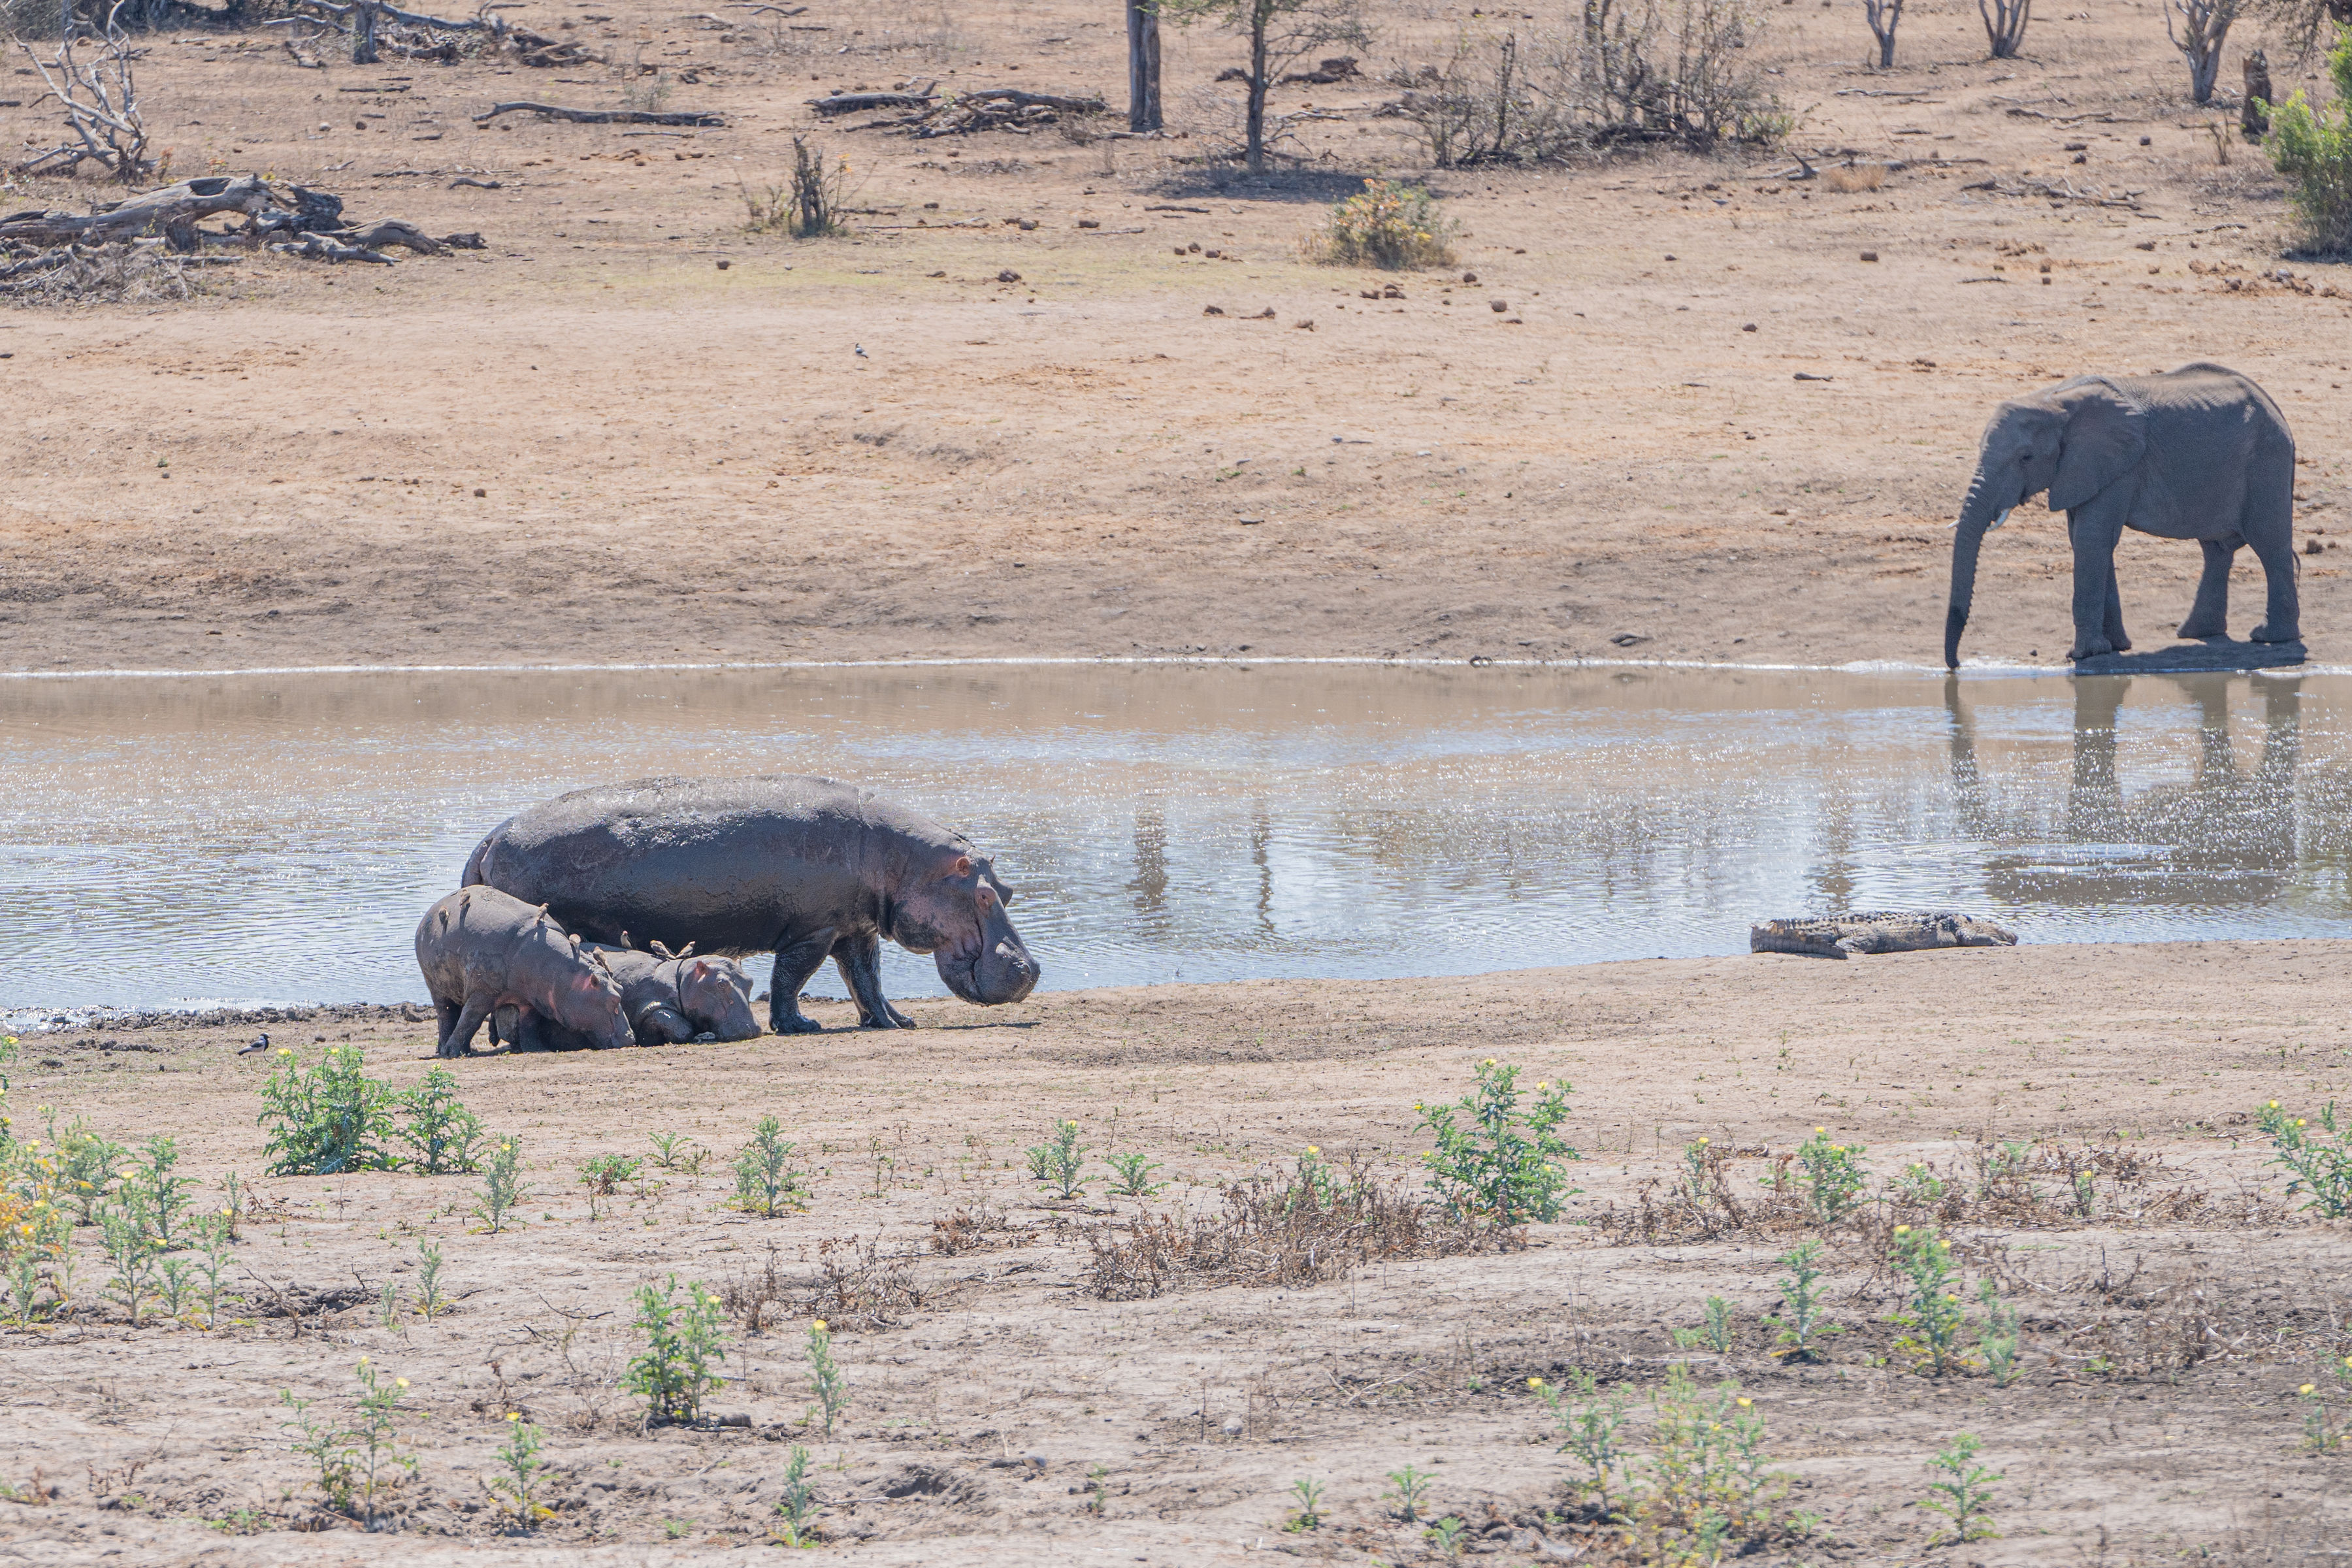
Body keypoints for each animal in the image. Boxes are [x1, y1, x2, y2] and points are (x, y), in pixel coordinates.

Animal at [414, 886, 634, 1058]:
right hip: (436, 986)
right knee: (447, 1015)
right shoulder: (483, 992)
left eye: (621, 989)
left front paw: (538, 1049)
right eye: (613, 999)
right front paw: (454, 1053)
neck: (563, 972)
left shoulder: (531, 1000)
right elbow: (470, 1020)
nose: (631, 1038)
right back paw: (447, 1050)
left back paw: (462, 1049)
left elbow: (529, 1025)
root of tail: (432, 910)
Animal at [461, 775, 1040, 1035]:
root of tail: (490, 837)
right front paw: (802, 1026)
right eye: (984, 894)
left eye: (1008, 890)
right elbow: (792, 978)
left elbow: (867, 980)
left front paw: (896, 1022)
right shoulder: (813, 931)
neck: (903, 861)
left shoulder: (854, 928)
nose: (1031, 969)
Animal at [492, 940, 760, 1048]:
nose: (753, 1028)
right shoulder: (648, 1003)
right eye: (722, 984)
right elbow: (677, 1025)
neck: (683, 978)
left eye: (750, 981)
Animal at [1945, 363, 2299, 668]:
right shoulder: (2083, 468)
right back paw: (2197, 634)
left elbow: (2092, 539)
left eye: (2026, 458)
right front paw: (2114, 648)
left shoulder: (2119, 466)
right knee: (2216, 550)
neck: (2054, 401)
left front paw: (2084, 655)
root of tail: (2273, 406)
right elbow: (2086, 541)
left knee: (2269, 544)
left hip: (2266, 460)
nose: (1957, 665)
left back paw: (2270, 638)